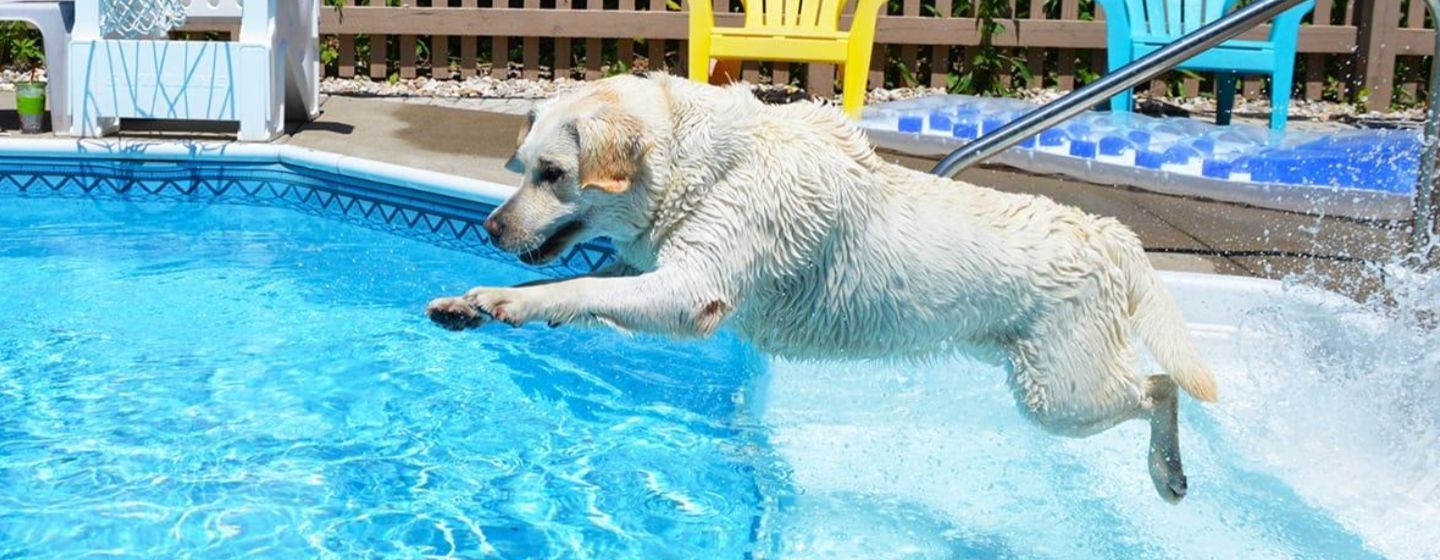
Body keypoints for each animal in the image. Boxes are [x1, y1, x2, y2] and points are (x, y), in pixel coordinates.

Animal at [423, 70, 1215, 500]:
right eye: (519, 167)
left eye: (552, 174)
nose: (491, 228)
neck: (698, 165)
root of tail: (1108, 232)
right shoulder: (658, 265)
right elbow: (595, 280)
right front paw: (466, 303)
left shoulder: (693, 291)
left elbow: (578, 291)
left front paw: (505, 301)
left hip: (1058, 394)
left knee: (1158, 387)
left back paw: (1167, 472)